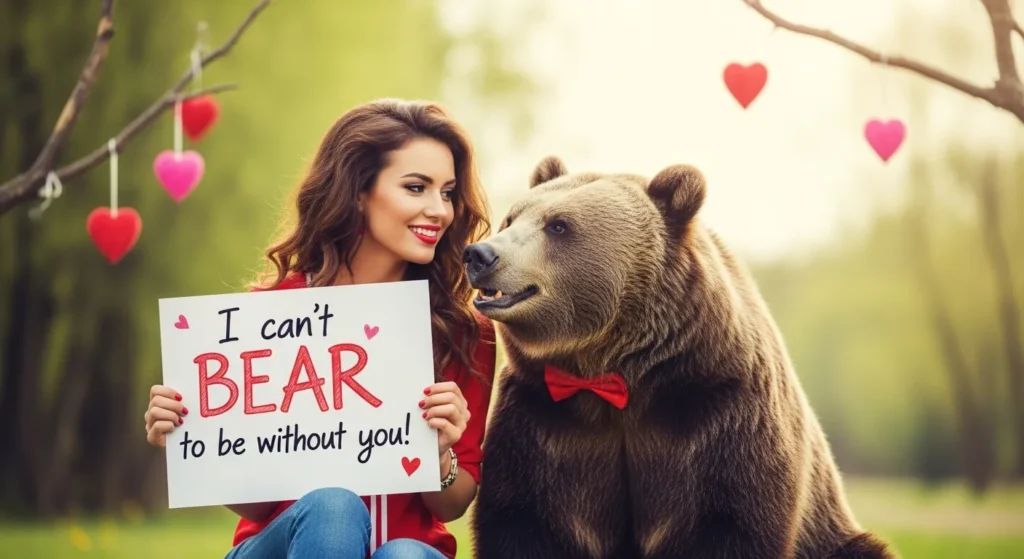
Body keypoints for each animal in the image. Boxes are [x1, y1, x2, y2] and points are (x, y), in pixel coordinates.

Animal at [462, 156, 894, 559]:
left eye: (558, 225)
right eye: (510, 218)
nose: (479, 254)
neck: (614, 370)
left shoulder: (719, 414)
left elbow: (730, 520)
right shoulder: (544, 419)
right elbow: (525, 519)